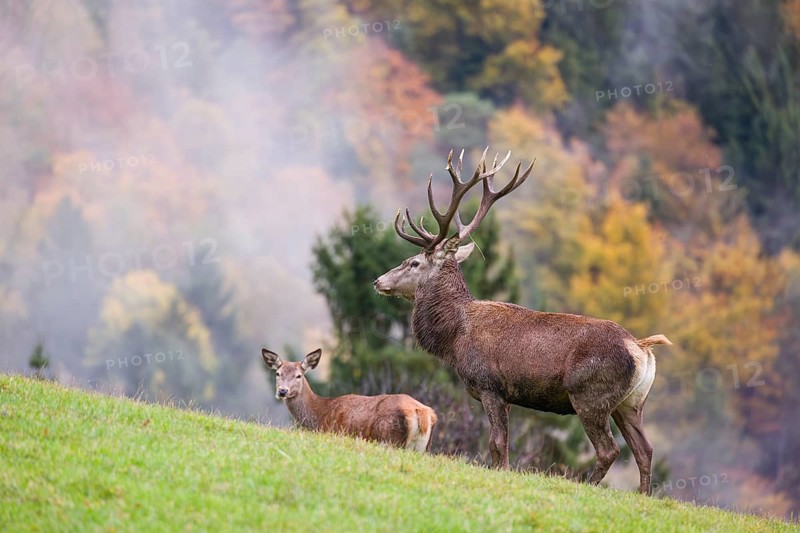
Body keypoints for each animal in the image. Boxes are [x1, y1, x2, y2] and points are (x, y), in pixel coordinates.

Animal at [261, 348, 438, 452]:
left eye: (299, 376)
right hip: (421, 449)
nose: (282, 391)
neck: (319, 416)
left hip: (389, 439)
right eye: (278, 373)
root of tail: (421, 413)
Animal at [373, 147, 672, 494]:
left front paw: (501, 473)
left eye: (413, 262)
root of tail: (641, 348)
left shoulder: (490, 384)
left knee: (609, 450)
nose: (378, 281)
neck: (455, 336)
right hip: (632, 403)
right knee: (644, 449)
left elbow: (497, 443)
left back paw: (584, 485)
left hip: (589, 394)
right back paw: (643, 495)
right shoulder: (506, 394)